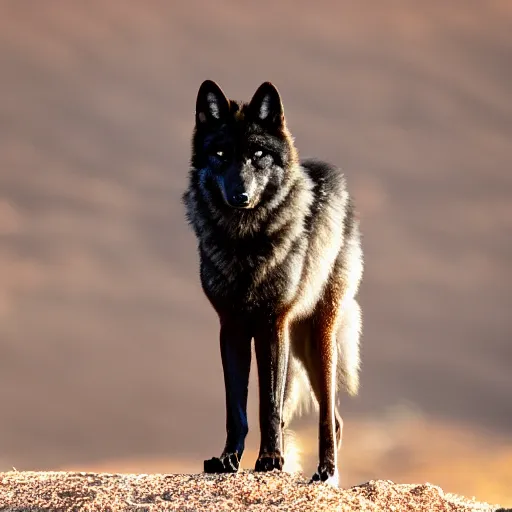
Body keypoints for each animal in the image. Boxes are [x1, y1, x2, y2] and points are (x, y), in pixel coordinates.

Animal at [182, 80, 362, 488]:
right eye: (221, 154)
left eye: (258, 154)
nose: (241, 196)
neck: (244, 242)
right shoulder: (231, 327)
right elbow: (237, 407)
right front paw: (228, 459)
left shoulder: (271, 324)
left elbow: (268, 404)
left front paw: (269, 459)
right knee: (331, 416)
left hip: (317, 338)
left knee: (330, 416)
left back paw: (326, 474)